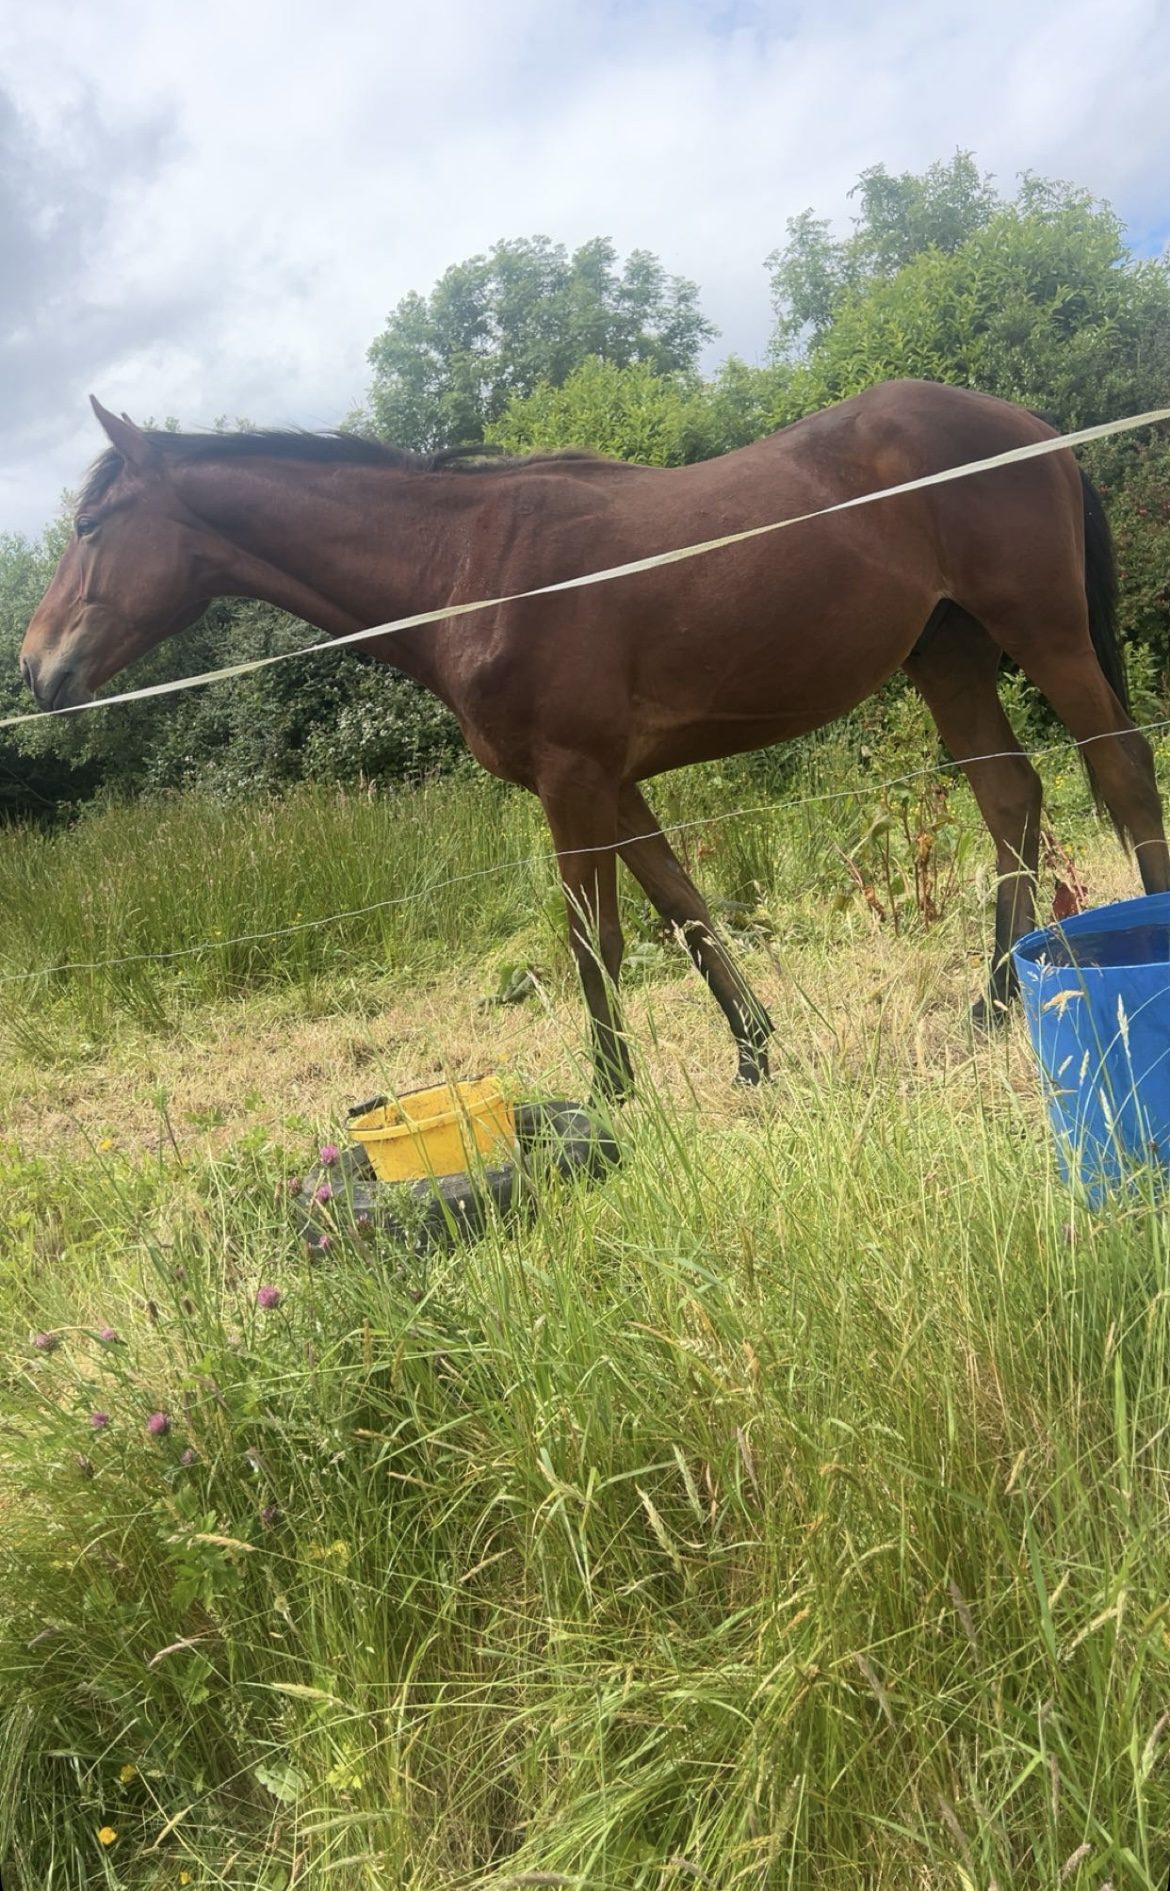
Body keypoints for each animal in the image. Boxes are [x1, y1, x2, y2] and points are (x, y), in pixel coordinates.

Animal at [19, 383, 1169, 1099]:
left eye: (90, 526)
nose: (37, 671)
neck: (467, 568)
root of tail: (1022, 421)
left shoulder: (570, 779)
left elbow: (595, 936)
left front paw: (612, 1090)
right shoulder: (614, 781)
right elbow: (684, 908)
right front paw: (754, 1054)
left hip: (1043, 630)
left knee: (1121, 765)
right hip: (951, 657)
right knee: (1009, 796)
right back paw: (990, 1002)